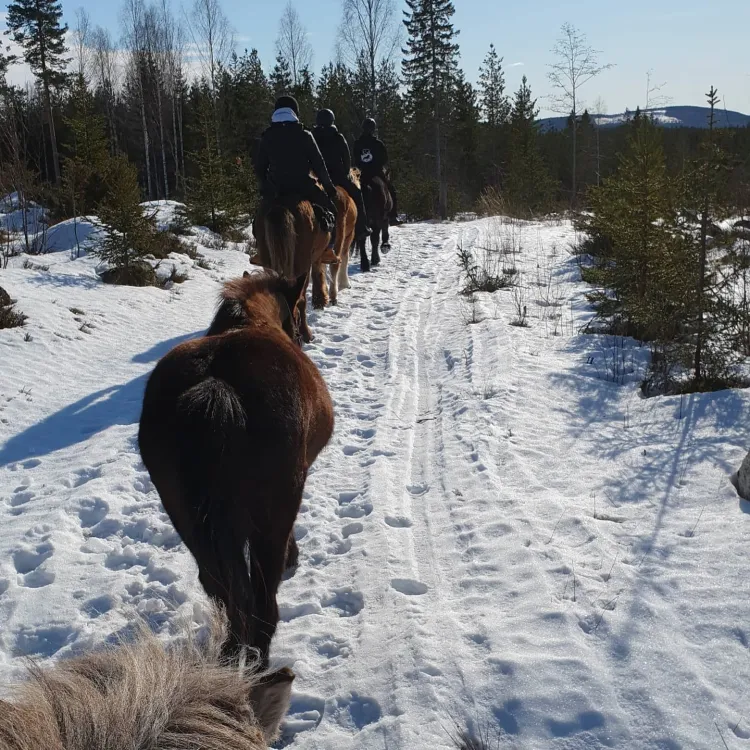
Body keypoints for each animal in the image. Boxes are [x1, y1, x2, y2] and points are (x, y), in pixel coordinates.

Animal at [137, 274, 334, 668]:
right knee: (261, 599)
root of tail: (216, 383)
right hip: (269, 520)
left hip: (189, 522)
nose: (306, 335)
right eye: (299, 308)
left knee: (221, 588)